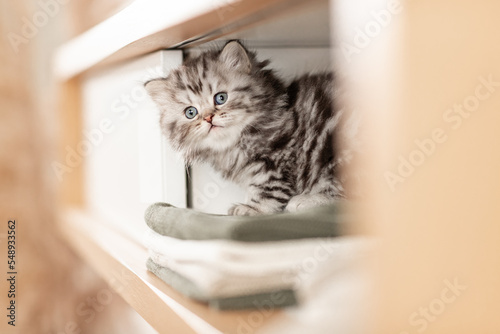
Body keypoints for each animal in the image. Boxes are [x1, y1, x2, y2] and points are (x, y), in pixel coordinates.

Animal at [145, 40, 348, 215]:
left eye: (221, 98)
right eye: (190, 112)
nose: (209, 118)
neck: (234, 144)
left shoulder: (277, 159)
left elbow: (268, 188)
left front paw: (253, 208)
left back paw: (307, 200)